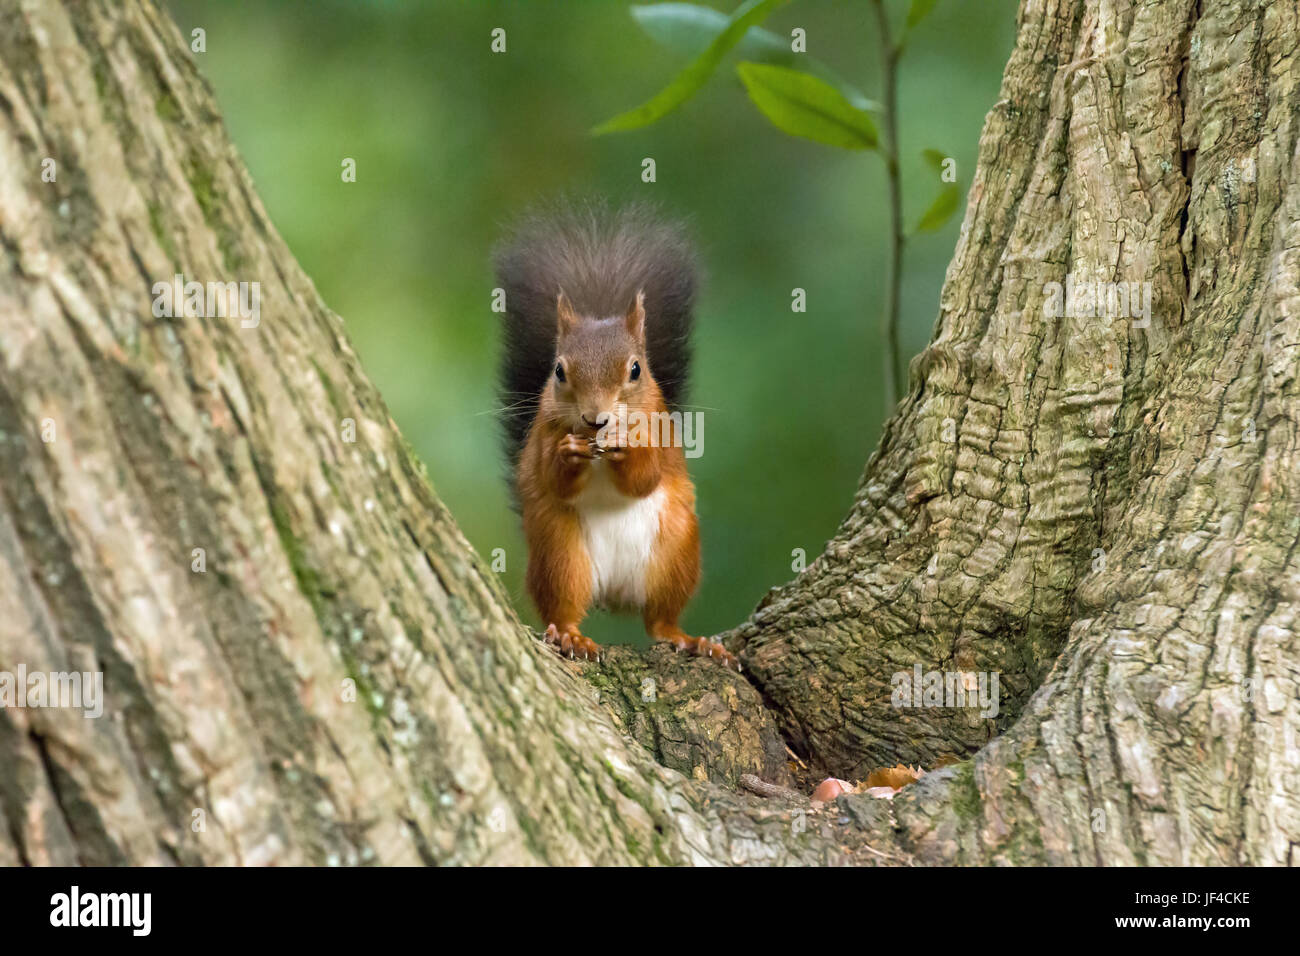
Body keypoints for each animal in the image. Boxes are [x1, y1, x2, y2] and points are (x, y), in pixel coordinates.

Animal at [491, 199, 738, 671]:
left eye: (636, 369)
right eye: (558, 371)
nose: (595, 419)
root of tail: (614, 594)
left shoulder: (659, 430)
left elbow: (646, 476)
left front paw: (629, 452)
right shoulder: (544, 432)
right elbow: (552, 477)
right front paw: (568, 455)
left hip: (676, 551)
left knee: (659, 622)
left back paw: (693, 640)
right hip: (560, 553)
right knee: (564, 607)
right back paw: (571, 636)